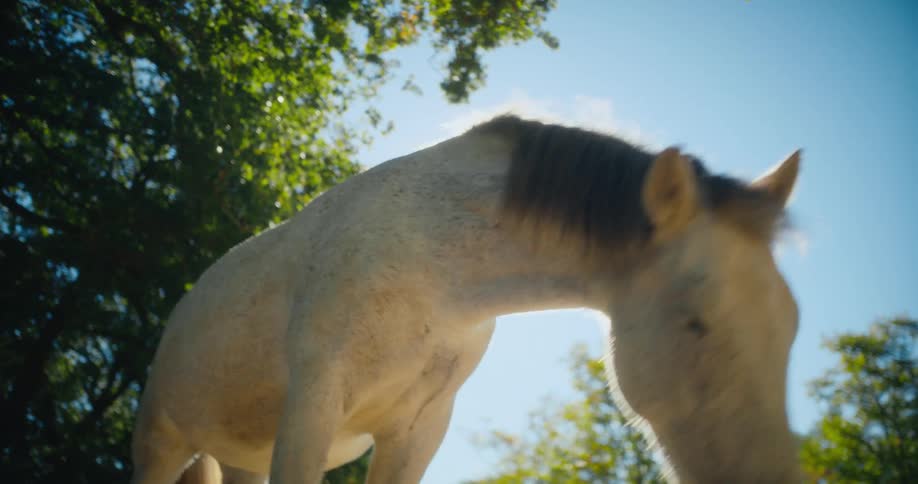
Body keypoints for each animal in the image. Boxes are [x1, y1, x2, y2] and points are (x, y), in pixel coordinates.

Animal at [131, 114, 803, 484]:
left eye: (792, 327)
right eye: (696, 322)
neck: (432, 268)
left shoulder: (418, 431)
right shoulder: (312, 406)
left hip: (242, 455)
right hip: (161, 444)